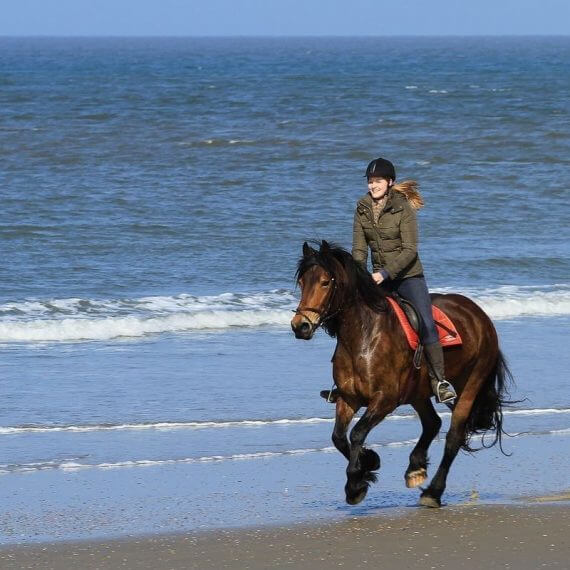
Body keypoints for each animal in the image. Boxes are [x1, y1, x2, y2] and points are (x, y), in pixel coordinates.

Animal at [290, 240, 512, 506]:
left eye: (325, 282)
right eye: (302, 282)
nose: (300, 326)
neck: (363, 336)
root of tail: (480, 315)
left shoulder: (385, 400)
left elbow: (357, 433)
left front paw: (355, 484)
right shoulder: (348, 398)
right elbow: (338, 437)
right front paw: (369, 462)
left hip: (471, 383)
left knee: (453, 437)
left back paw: (433, 493)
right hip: (417, 392)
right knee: (432, 423)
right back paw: (416, 468)